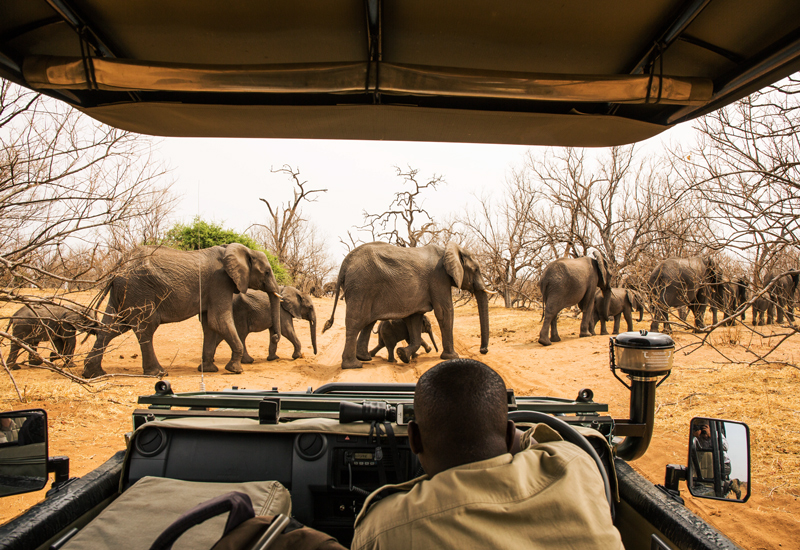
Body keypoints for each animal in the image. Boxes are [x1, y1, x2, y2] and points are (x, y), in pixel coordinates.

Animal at [83, 245, 282, 380]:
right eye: (266, 272)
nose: (274, 337)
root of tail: (117, 270)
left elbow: (209, 324)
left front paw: (208, 369)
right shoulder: (219, 281)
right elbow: (219, 321)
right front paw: (236, 370)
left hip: (123, 293)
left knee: (111, 327)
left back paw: (93, 374)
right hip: (139, 291)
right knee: (145, 327)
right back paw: (158, 373)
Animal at [322, 243, 490, 368]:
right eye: (476, 269)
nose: (483, 350)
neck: (449, 249)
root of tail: (344, 264)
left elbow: (415, 318)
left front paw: (403, 355)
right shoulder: (439, 278)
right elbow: (444, 312)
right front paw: (452, 357)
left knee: (368, 323)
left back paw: (365, 359)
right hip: (360, 287)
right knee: (356, 323)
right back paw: (353, 365)